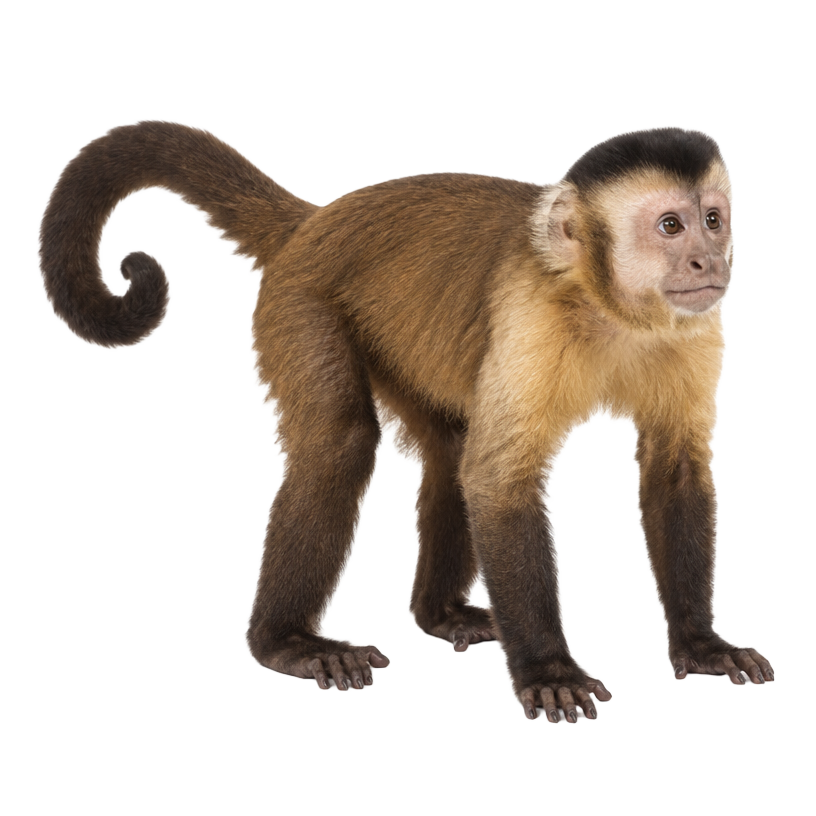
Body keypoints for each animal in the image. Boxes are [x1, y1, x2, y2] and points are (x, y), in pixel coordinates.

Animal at [37, 121, 775, 722]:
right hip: (302, 301)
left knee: (450, 450)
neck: (606, 304)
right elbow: (499, 483)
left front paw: (702, 645)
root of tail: (317, 219)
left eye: (714, 218)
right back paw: (284, 642)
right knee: (342, 445)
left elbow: (674, 473)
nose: (710, 259)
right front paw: (548, 669)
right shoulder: (532, 318)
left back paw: (438, 613)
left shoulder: (694, 329)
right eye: (671, 226)